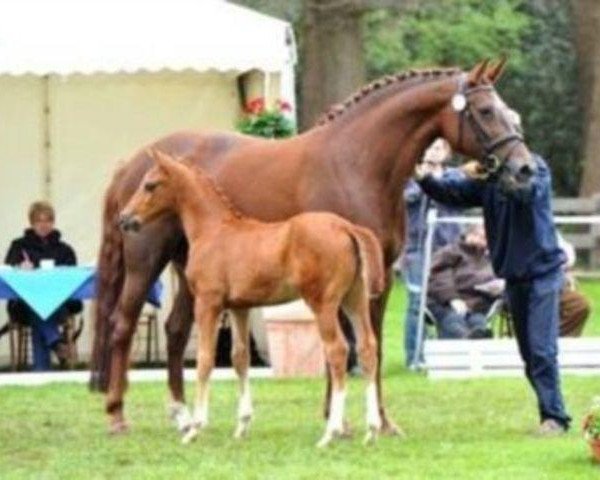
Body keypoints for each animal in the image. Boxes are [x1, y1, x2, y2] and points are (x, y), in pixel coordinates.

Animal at [118, 150, 384, 446]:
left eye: (150, 185)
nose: (125, 218)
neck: (213, 229)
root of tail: (346, 227)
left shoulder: (208, 303)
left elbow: (205, 360)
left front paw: (195, 427)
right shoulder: (239, 308)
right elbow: (239, 358)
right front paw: (242, 425)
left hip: (323, 304)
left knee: (337, 351)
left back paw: (331, 432)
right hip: (354, 300)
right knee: (368, 349)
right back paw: (372, 430)